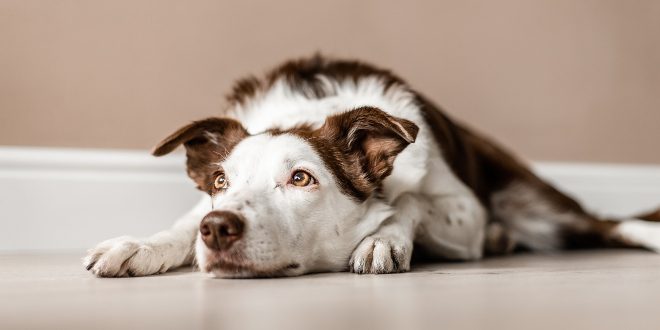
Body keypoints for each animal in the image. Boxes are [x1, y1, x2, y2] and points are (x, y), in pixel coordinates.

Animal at [82, 55, 660, 278]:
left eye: (301, 178)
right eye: (220, 182)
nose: (218, 228)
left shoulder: (465, 212)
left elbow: (409, 198)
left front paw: (383, 238)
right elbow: (180, 225)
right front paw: (140, 246)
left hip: (536, 203)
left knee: (608, 223)